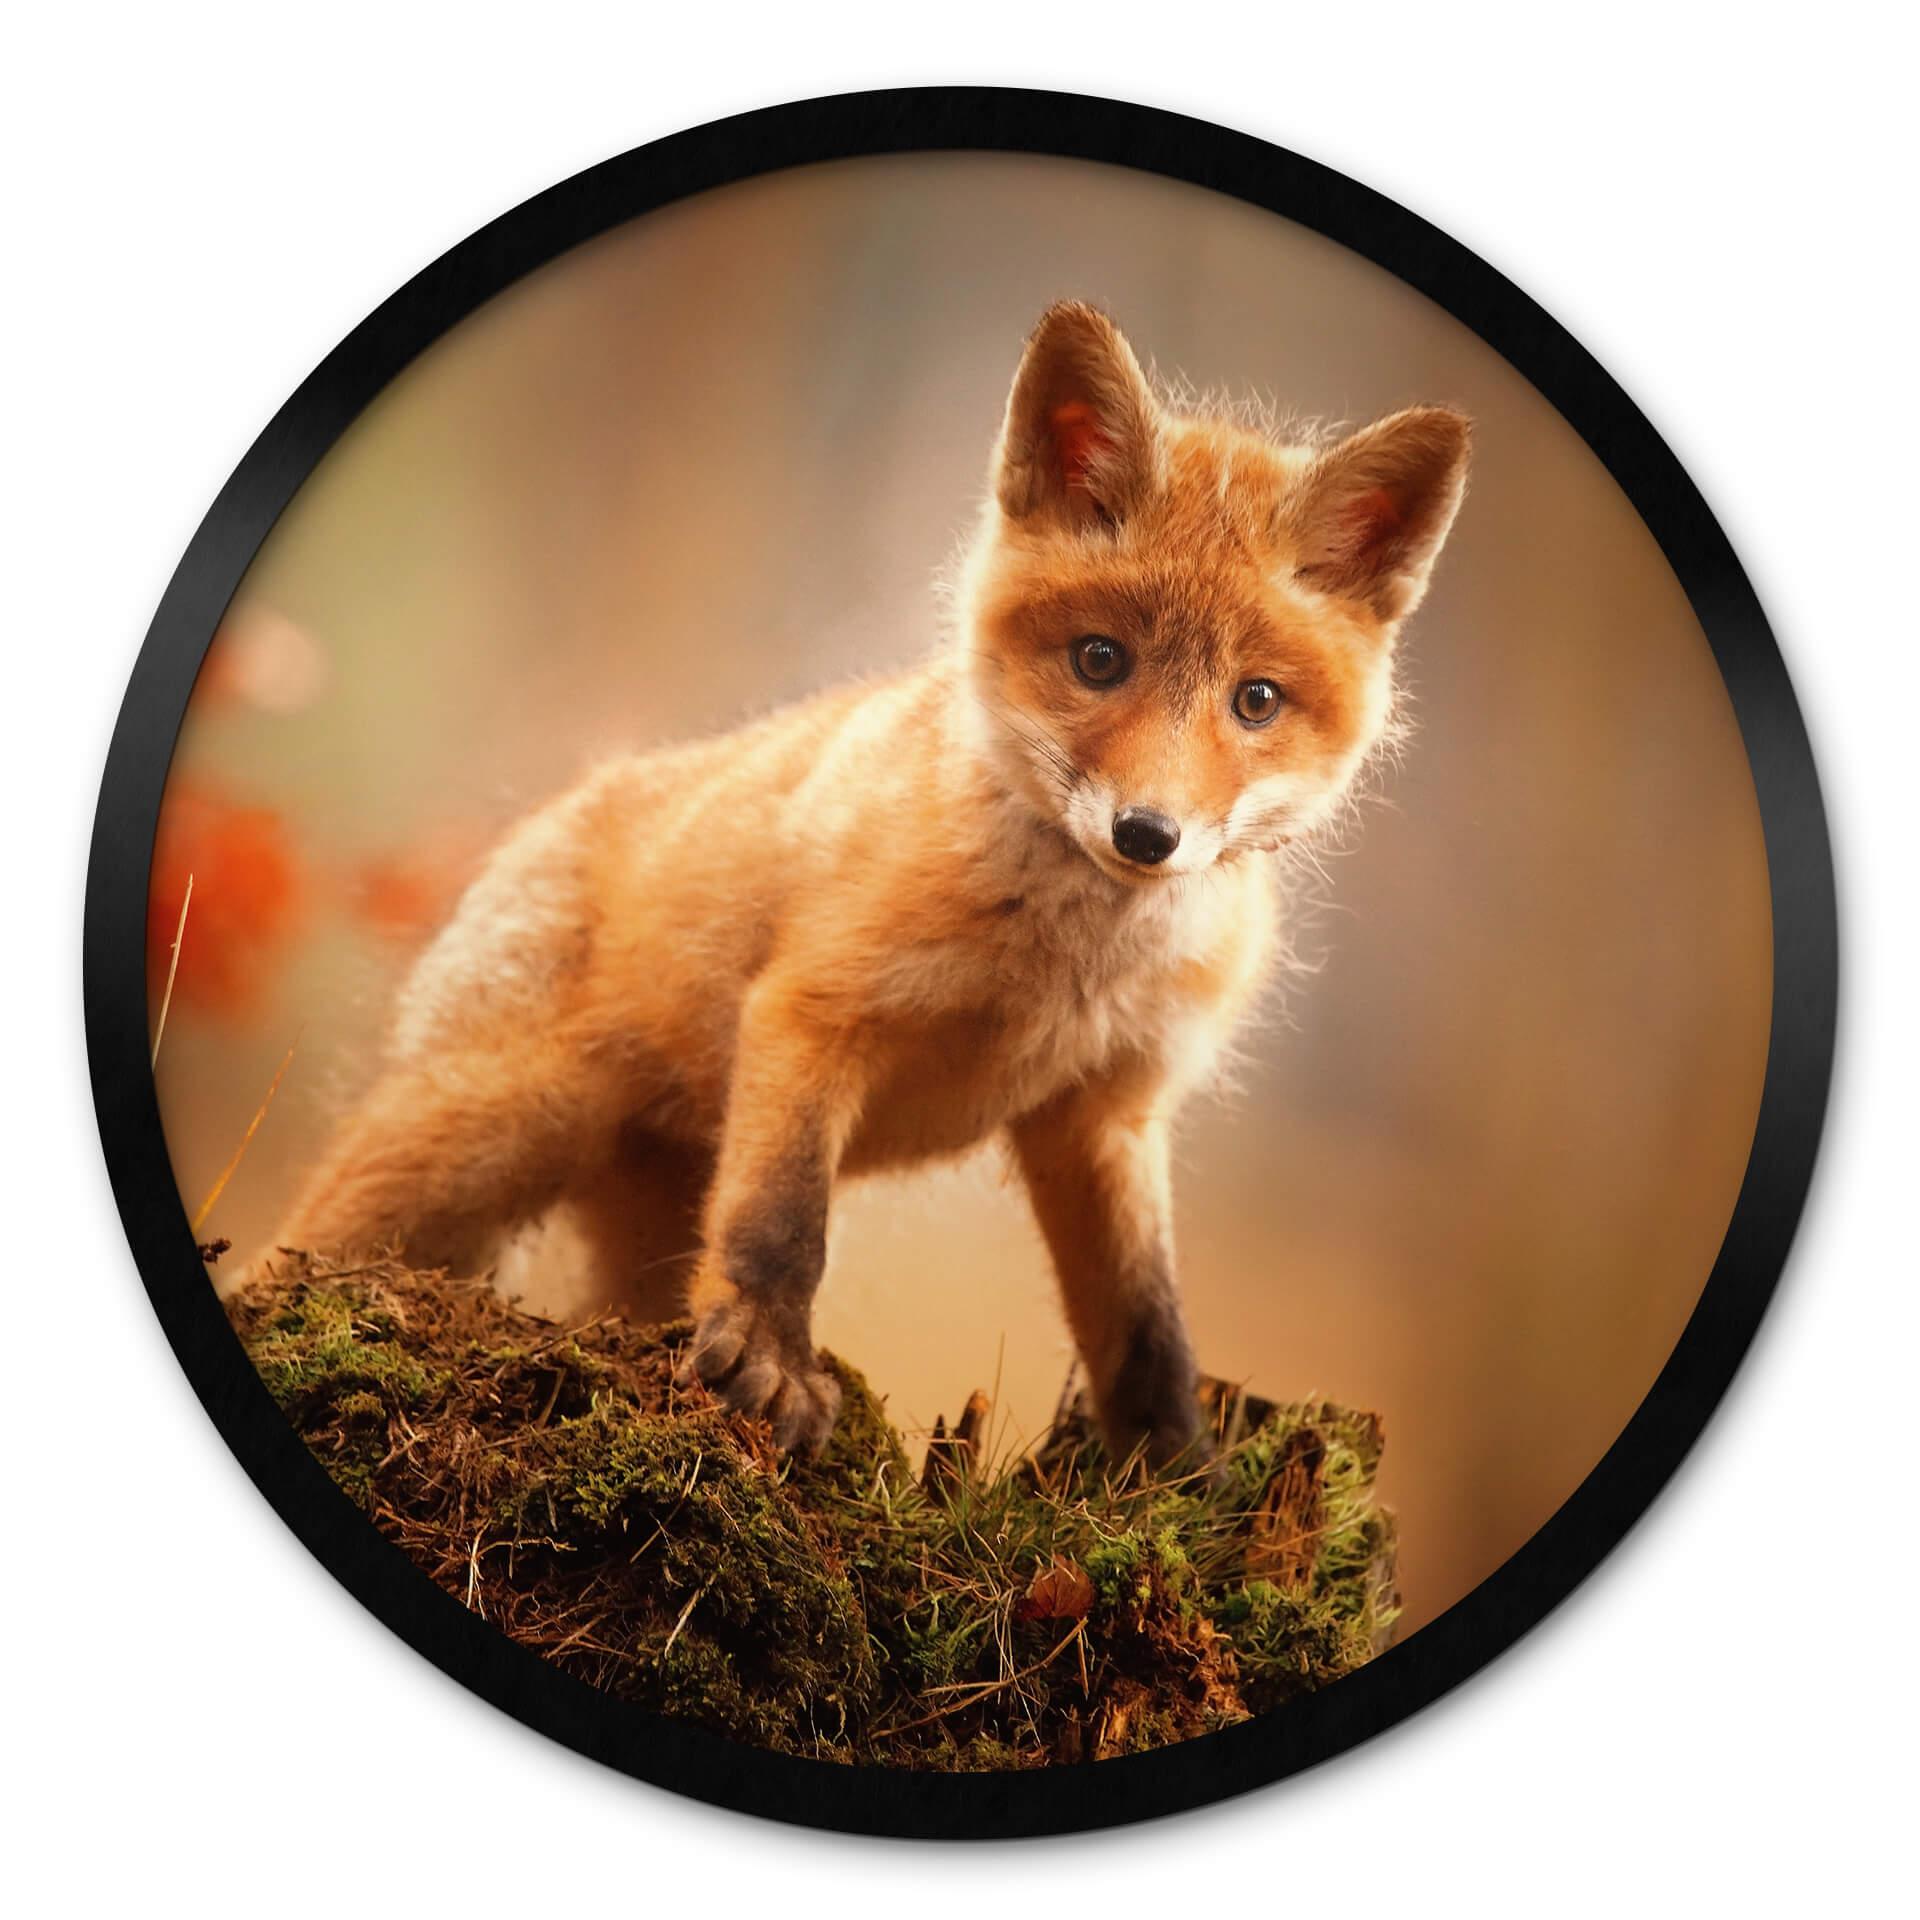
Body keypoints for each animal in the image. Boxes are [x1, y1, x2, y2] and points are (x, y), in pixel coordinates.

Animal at [267, 301, 1470, 1466]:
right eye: (1100, 660)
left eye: (1255, 701)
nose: (1146, 834)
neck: (1063, 965)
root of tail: (563, 805)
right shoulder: (814, 1013)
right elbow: (784, 1225)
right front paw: (769, 1365)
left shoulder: (1104, 1113)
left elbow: (1147, 1329)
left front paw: (1176, 1480)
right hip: (480, 1137)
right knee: (295, 1251)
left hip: (638, 1217)